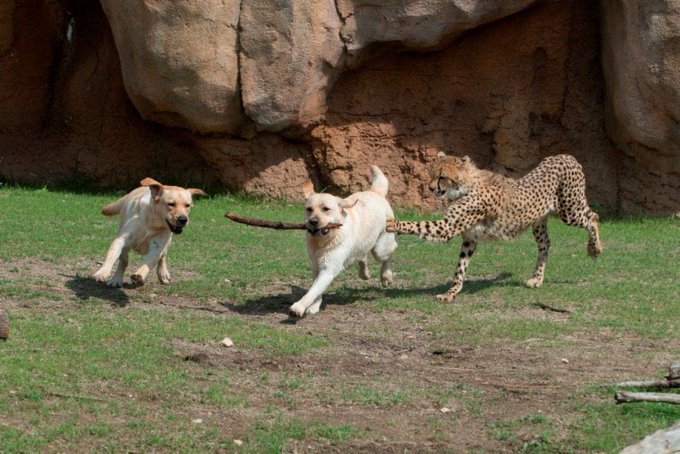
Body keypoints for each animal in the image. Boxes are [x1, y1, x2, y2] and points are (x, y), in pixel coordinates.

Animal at [386, 153, 604, 302]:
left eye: (442, 177)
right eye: (432, 174)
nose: (431, 188)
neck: (466, 186)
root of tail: (565, 156)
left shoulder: (447, 227)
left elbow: (419, 225)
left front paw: (394, 223)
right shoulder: (469, 238)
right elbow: (460, 269)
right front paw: (452, 292)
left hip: (570, 212)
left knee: (593, 217)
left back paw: (595, 249)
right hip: (539, 223)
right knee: (546, 245)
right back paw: (537, 279)